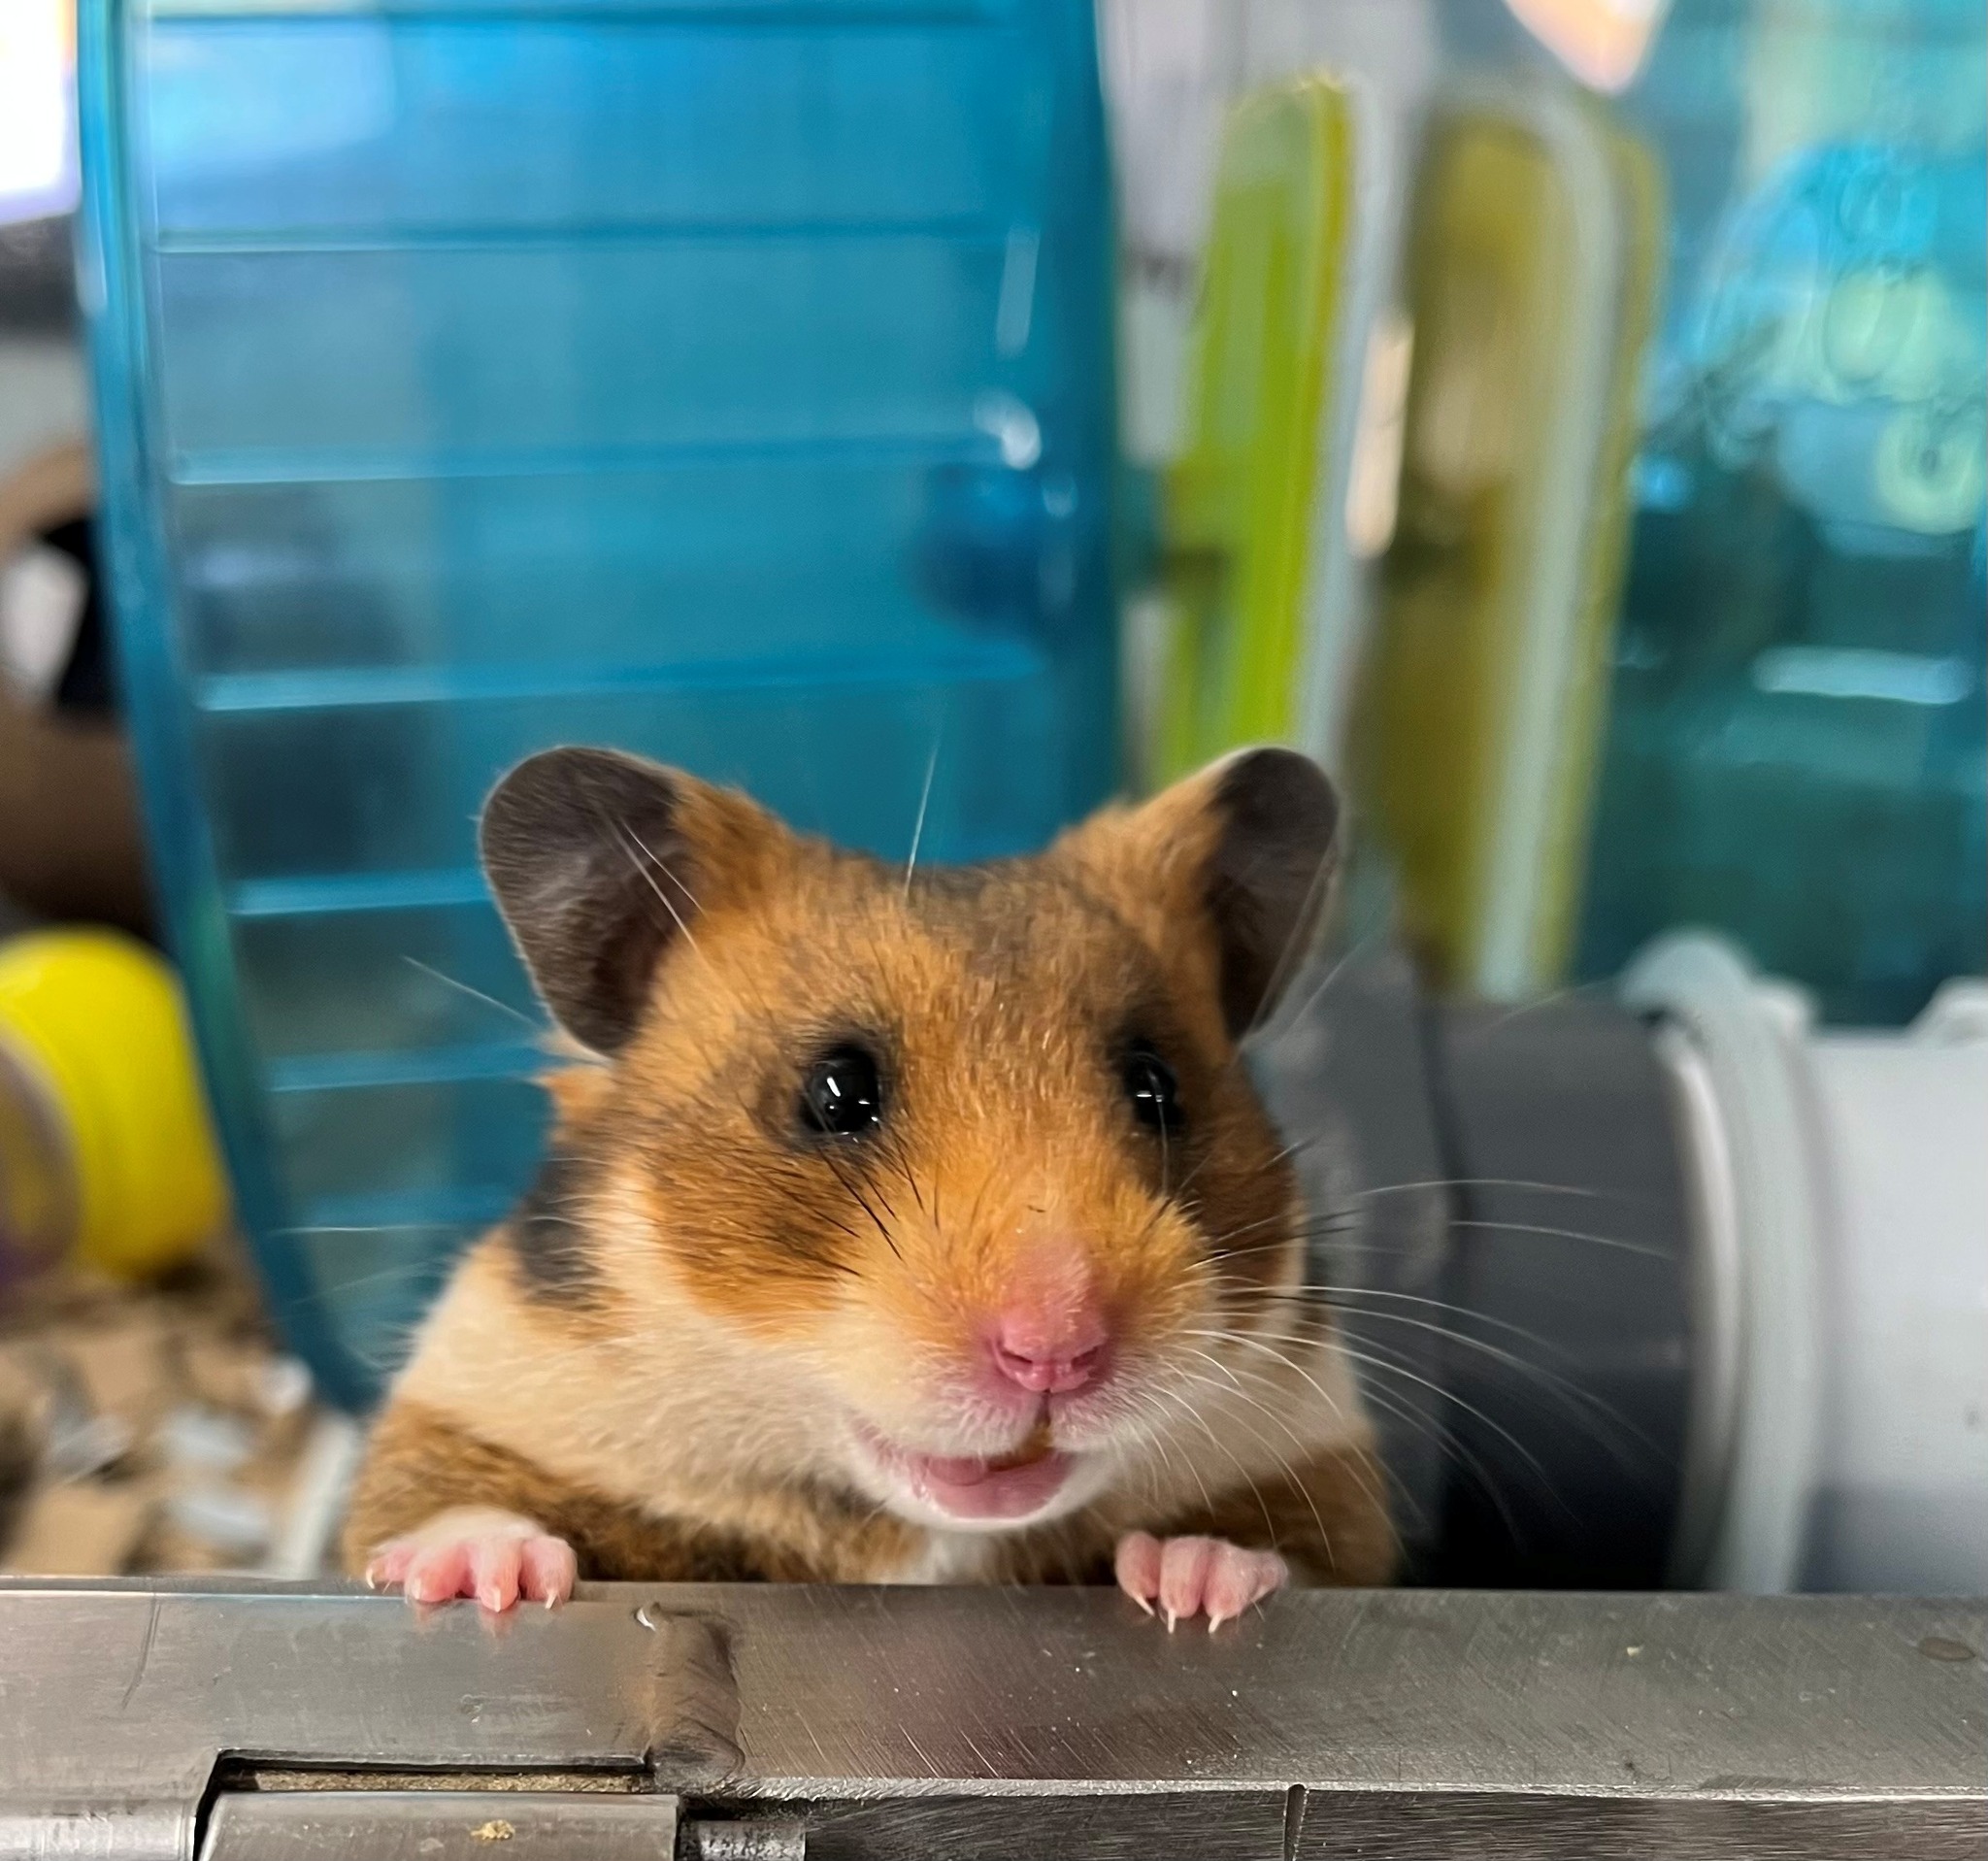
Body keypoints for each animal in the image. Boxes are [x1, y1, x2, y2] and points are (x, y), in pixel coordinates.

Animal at [343, 743, 1394, 1626]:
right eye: (835, 1091)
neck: (927, 1530)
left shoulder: (1326, 1472)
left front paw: (1195, 1577)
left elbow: (1302, 1557)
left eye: (1156, 1086)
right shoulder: (472, 1396)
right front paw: (480, 1582)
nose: (1054, 1353)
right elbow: (437, 1512)